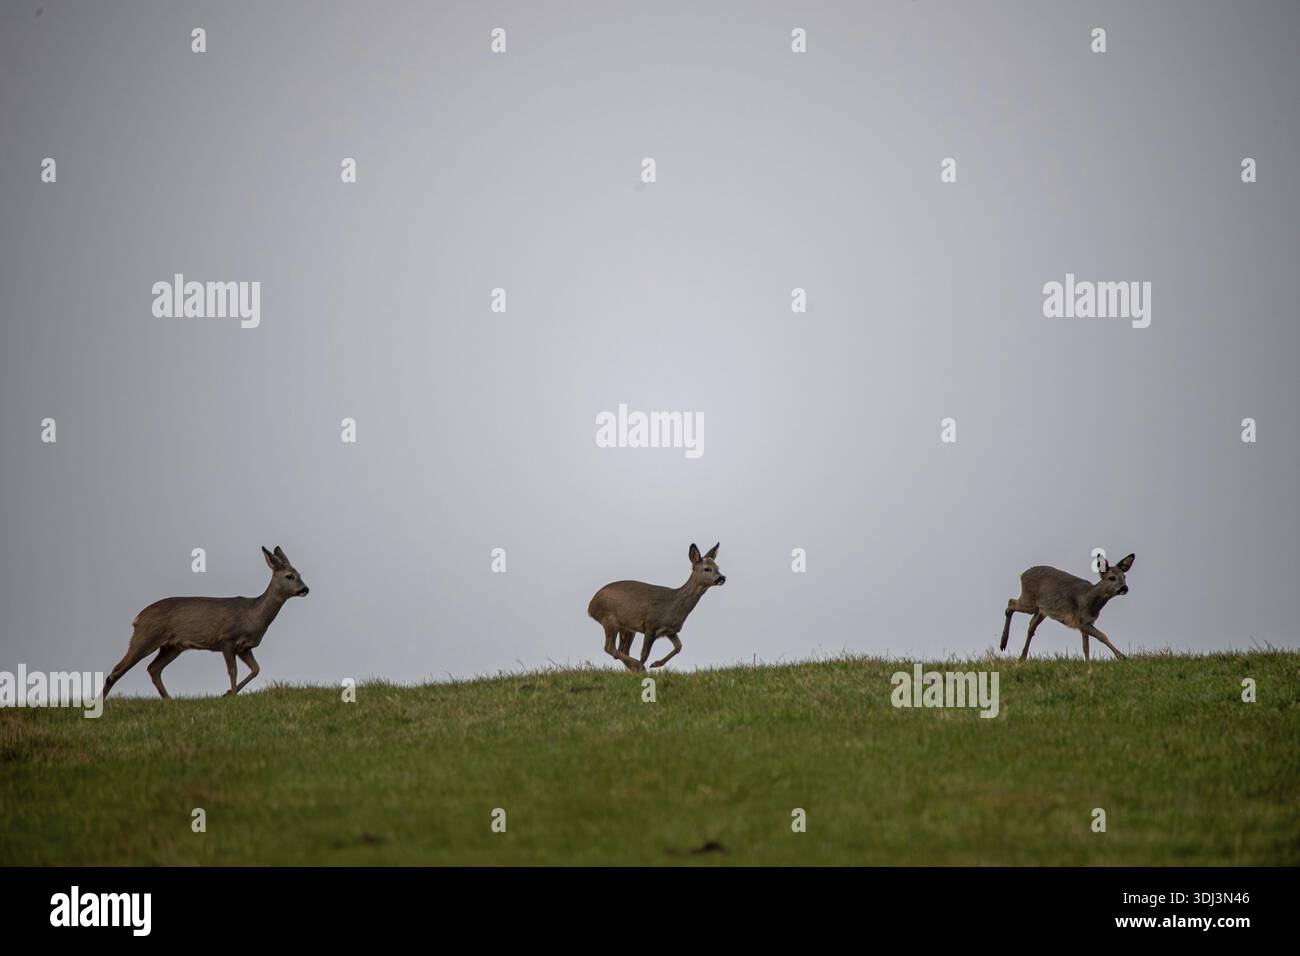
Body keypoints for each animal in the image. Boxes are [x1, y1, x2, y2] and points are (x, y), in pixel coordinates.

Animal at [100, 546, 309, 699]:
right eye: (289, 576)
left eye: (300, 574)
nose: (305, 589)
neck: (252, 616)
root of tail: (137, 618)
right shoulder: (227, 639)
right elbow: (232, 671)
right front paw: (232, 695)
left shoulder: (245, 647)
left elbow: (256, 669)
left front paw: (227, 693)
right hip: (146, 637)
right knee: (117, 670)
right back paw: (101, 701)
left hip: (172, 646)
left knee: (153, 668)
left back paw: (169, 700)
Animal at [588, 542, 726, 671]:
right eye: (707, 569)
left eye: (718, 567)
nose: (722, 577)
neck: (673, 605)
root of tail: (590, 607)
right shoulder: (651, 625)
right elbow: (644, 654)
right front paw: (644, 668)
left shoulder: (670, 630)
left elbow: (679, 647)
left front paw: (656, 664)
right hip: (609, 619)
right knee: (610, 648)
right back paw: (637, 666)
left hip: (628, 628)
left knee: (621, 650)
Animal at [1000, 553, 1134, 661]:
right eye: (1112, 578)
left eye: (1124, 577)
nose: (1124, 588)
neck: (1090, 600)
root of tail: (1022, 574)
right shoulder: (1082, 621)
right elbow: (1102, 636)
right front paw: (1122, 656)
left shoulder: (1086, 623)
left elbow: (1086, 647)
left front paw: (1088, 663)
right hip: (1029, 601)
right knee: (1010, 604)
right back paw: (1003, 643)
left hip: (1042, 610)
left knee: (1031, 626)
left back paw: (1022, 657)